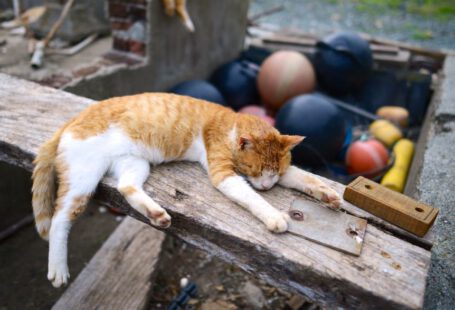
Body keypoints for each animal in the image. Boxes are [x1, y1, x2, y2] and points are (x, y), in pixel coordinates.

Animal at [31, 92, 342, 288]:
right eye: (256, 172)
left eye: (274, 174)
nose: (267, 186)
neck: (231, 124)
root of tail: (73, 120)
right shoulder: (223, 173)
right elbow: (250, 197)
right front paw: (274, 216)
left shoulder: (285, 173)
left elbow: (303, 177)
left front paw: (328, 194)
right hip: (83, 180)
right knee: (59, 218)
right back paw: (58, 268)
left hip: (134, 163)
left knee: (126, 185)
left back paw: (156, 215)